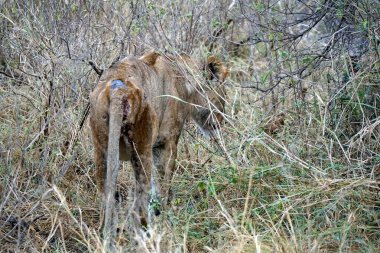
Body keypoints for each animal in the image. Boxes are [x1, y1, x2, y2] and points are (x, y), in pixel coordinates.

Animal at [89, 51, 229, 235]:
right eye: (223, 96)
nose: (222, 121)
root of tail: (118, 89)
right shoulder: (167, 142)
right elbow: (162, 187)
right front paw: (162, 217)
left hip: (101, 150)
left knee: (106, 200)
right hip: (141, 149)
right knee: (139, 204)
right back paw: (147, 233)